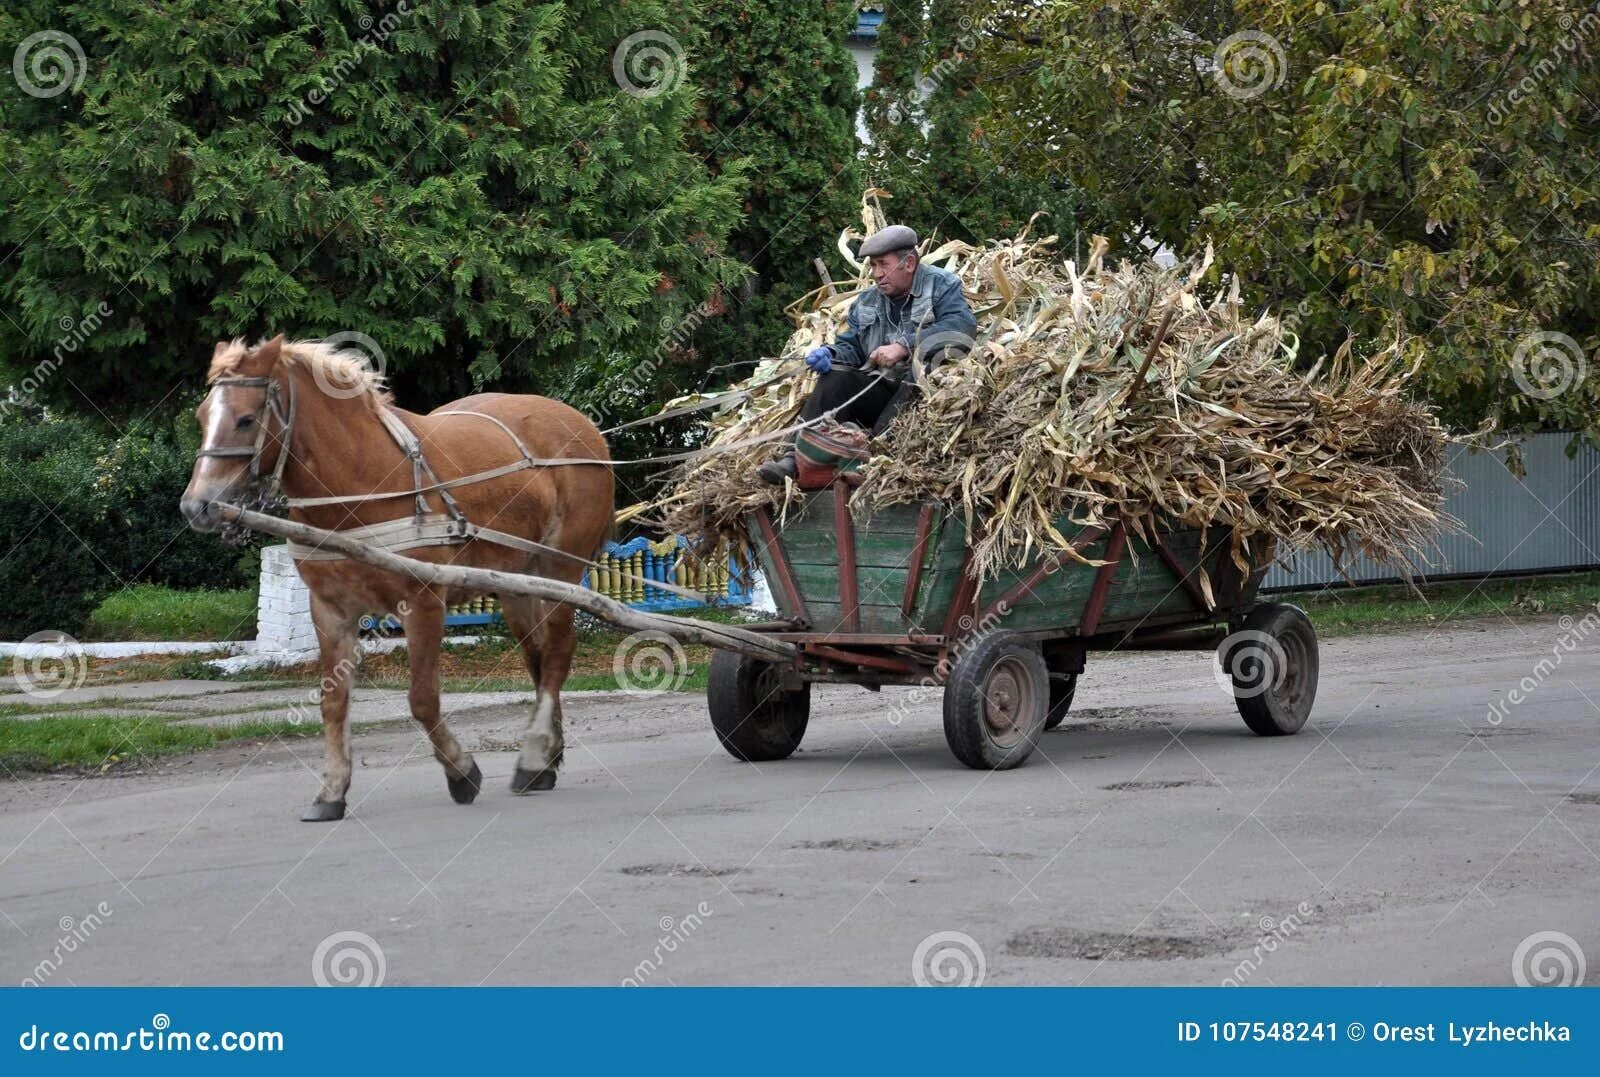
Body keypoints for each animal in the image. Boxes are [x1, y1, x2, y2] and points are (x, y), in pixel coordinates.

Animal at [178, 331, 614, 819]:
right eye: (201, 417)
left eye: (246, 419)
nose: (196, 506)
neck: (360, 479)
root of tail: (584, 427)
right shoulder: (329, 610)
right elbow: (334, 703)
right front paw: (332, 791)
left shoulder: (422, 602)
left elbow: (422, 700)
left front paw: (462, 773)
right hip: (518, 584)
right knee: (538, 660)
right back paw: (546, 760)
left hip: (562, 569)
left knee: (557, 654)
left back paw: (533, 757)